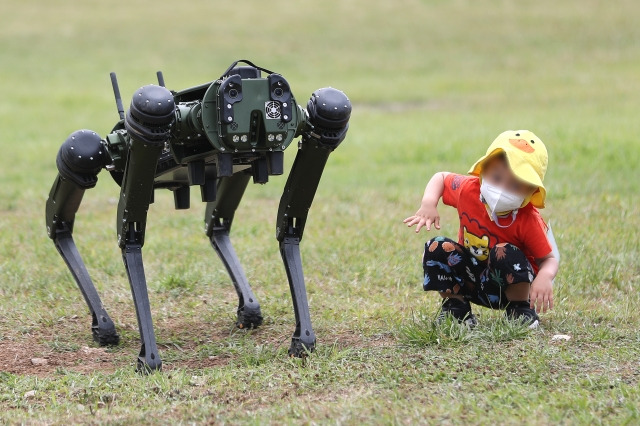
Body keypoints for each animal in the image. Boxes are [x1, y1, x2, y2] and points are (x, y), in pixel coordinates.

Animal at [46, 60, 350, 372]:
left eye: (279, 93)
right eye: (231, 93)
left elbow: (289, 227)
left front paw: (304, 339)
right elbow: (129, 234)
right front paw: (149, 357)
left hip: (239, 169)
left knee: (217, 222)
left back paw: (249, 308)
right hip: (97, 155)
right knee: (68, 194)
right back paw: (103, 324)